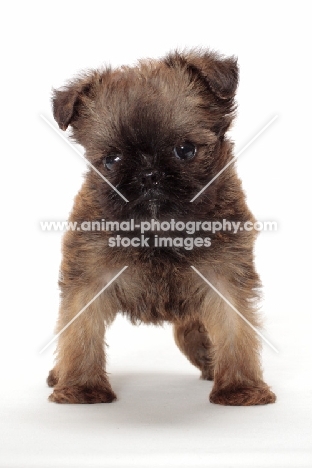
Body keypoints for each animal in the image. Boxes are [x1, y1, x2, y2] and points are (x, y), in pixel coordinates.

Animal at [46, 49, 276, 404]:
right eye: (111, 160)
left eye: (186, 150)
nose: (149, 174)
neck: (159, 231)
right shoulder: (88, 278)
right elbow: (79, 335)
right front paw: (82, 388)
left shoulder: (225, 277)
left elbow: (235, 332)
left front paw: (240, 388)